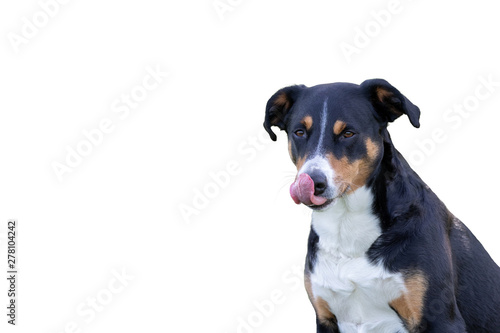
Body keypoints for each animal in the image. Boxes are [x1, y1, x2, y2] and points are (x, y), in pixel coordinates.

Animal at [264, 78, 498, 332]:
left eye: (348, 133)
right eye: (299, 132)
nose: (314, 182)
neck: (347, 226)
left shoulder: (440, 318)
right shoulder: (325, 318)